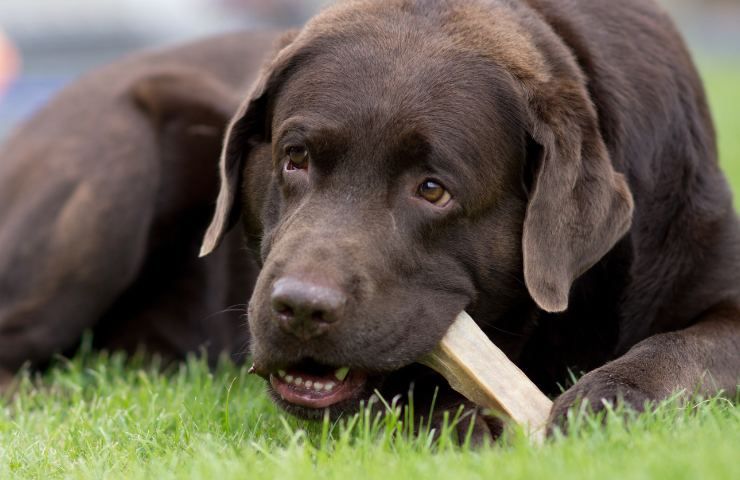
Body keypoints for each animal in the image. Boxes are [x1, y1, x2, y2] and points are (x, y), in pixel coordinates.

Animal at [1, 0, 740, 436]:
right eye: (296, 158)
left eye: (433, 190)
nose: (300, 307)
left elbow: (682, 349)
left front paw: (603, 396)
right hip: (114, 165)